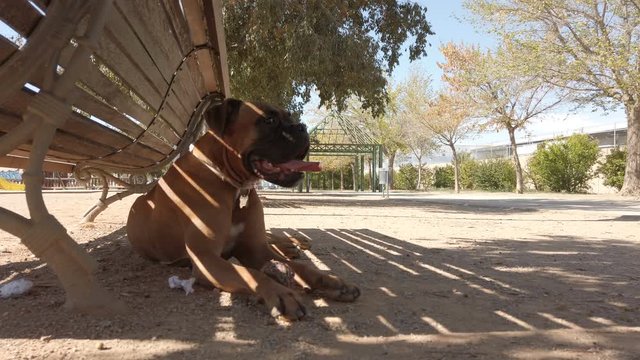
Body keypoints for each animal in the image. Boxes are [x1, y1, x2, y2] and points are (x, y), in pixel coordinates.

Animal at [127, 98, 360, 320]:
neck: (232, 184)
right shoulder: (206, 260)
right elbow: (252, 274)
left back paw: (294, 243)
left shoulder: (255, 249)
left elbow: (300, 267)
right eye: (269, 120)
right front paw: (282, 294)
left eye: (290, 117)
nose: (301, 126)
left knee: (274, 239)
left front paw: (330, 282)